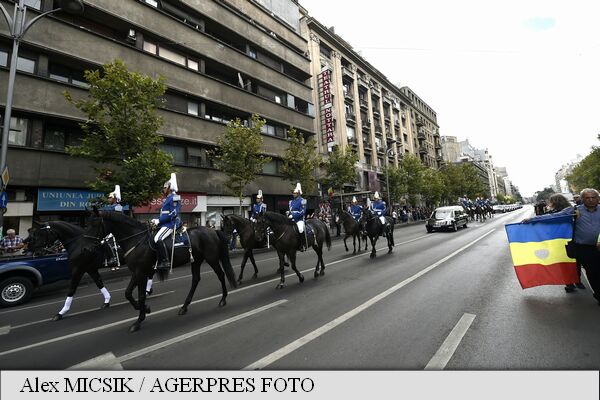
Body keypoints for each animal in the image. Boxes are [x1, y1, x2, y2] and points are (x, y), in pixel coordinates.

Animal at [86, 209, 237, 332]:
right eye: (88, 224)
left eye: (95, 225)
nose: (87, 249)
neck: (136, 240)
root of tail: (213, 230)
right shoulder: (137, 272)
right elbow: (128, 293)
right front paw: (144, 309)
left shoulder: (140, 272)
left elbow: (141, 296)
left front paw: (139, 320)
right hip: (196, 261)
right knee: (195, 280)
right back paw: (184, 307)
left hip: (211, 259)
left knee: (220, 274)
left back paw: (223, 299)